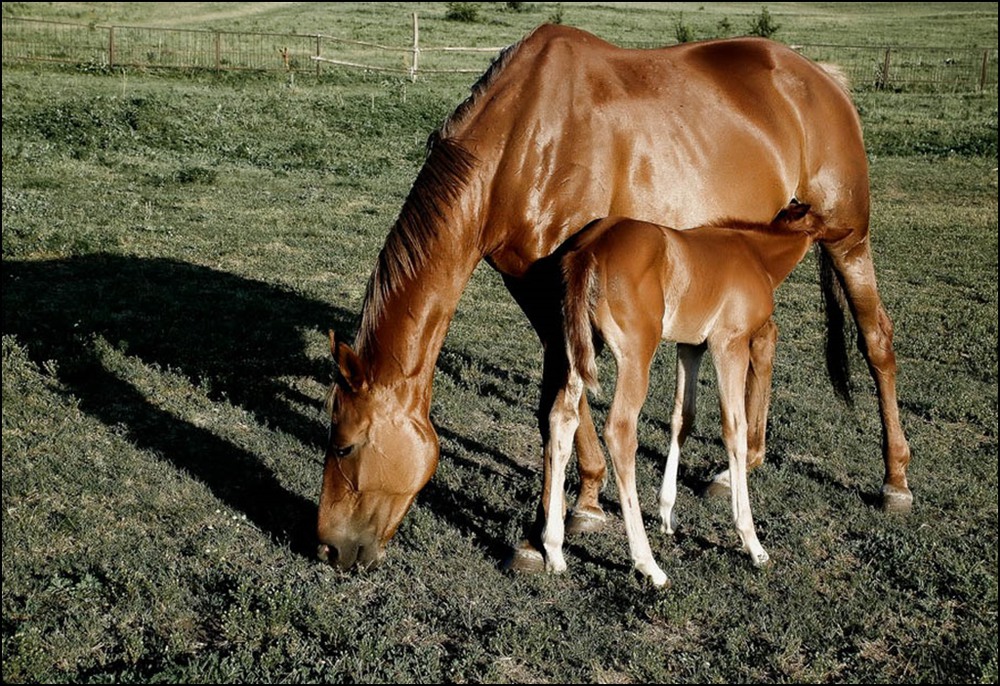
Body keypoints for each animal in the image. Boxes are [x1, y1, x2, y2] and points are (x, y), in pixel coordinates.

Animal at [540, 202, 844, 588]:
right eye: (826, 218)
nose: (847, 236)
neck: (755, 253)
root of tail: (589, 249)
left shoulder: (690, 346)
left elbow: (682, 419)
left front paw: (668, 512)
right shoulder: (729, 344)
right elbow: (735, 428)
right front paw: (752, 542)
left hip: (580, 348)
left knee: (562, 419)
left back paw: (554, 550)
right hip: (637, 353)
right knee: (620, 430)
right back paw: (648, 565)